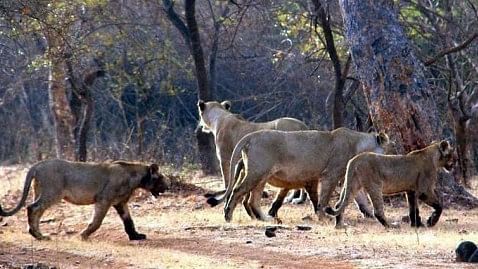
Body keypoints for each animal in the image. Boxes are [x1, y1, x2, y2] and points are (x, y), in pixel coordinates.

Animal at [0, 158, 168, 240]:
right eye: (161, 178)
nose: (168, 186)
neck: (135, 177)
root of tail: (37, 164)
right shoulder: (104, 200)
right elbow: (97, 222)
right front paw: (83, 235)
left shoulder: (120, 203)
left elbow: (129, 221)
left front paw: (135, 236)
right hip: (52, 193)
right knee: (32, 208)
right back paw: (39, 236)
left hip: (41, 192)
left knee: (36, 211)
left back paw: (37, 234)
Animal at [221, 126, 388, 221]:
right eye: (388, 150)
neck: (358, 144)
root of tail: (251, 135)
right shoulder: (330, 175)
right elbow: (323, 198)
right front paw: (323, 217)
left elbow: (361, 199)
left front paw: (370, 215)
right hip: (257, 172)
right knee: (237, 191)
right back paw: (228, 216)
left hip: (261, 176)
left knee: (252, 200)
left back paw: (265, 219)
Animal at [324, 139, 456, 227]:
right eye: (451, 154)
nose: (456, 162)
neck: (434, 158)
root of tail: (354, 159)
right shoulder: (424, 190)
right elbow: (439, 206)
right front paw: (431, 222)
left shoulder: (411, 191)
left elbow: (413, 209)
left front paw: (417, 225)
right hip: (375, 185)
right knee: (377, 210)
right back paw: (390, 225)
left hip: (352, 185)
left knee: (339, 204)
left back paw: (339, 226)